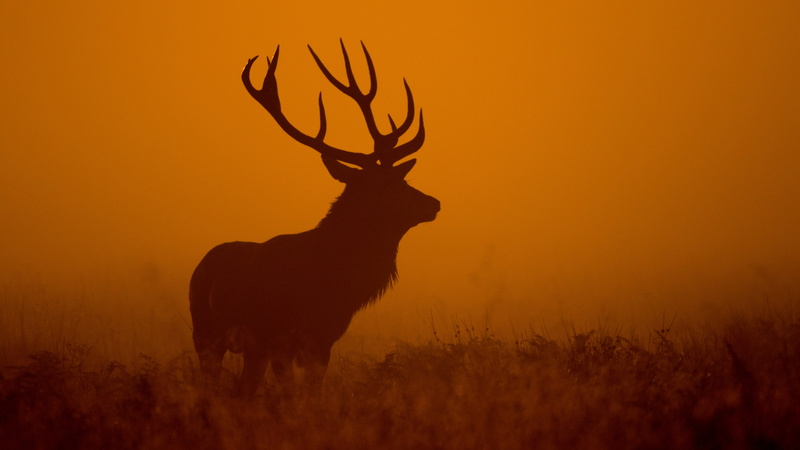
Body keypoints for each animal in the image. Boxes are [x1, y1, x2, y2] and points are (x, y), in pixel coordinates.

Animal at [189, 41, 440, 396]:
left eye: (401, 179)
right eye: (390, 185)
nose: (433, 203)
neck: (330, 278)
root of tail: (201, 265)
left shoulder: (324, 339)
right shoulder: (280, 337)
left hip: (249, 347)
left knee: (244, 388)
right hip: (205, 332)